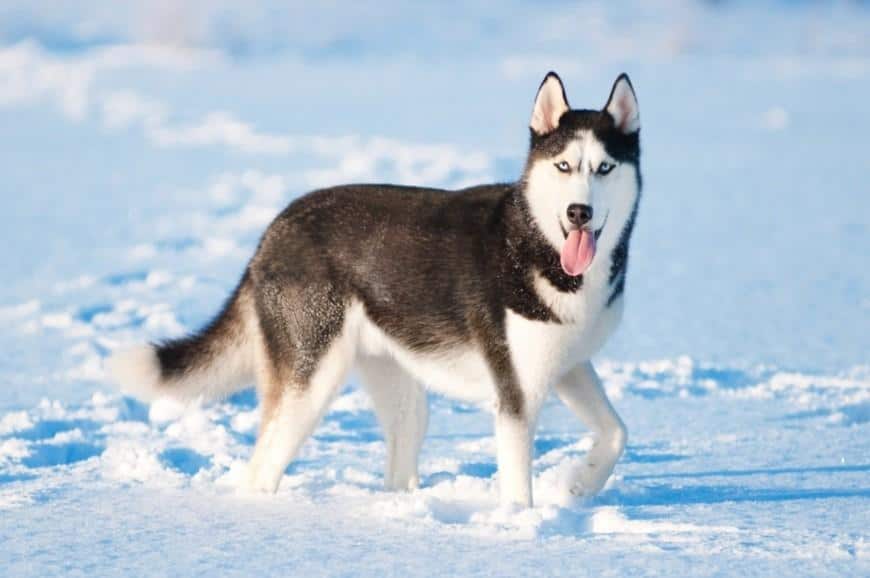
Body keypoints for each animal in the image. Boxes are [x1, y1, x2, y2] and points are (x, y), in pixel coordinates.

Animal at [107, 72, 640, 504]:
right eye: (564, 166)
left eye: (605, 168)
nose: (579, 212)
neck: (537, 243)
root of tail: (275, 228)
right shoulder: (515, 396)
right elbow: (518, 491)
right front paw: (524, 525)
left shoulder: (568, 367)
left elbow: (617, 432)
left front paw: (578, 483)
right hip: (311, 382)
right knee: (261, 468)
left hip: (400, 389)